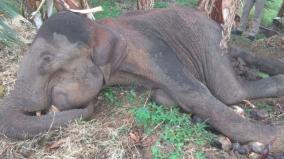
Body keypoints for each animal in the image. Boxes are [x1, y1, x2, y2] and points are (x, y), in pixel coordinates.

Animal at [0, 6, 284, 154]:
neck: (99, 27)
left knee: (230, 91)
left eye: (47, 60)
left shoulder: (152, 49)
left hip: (208, 37)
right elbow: (171, 95)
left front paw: (274, 140)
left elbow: (197, 93)